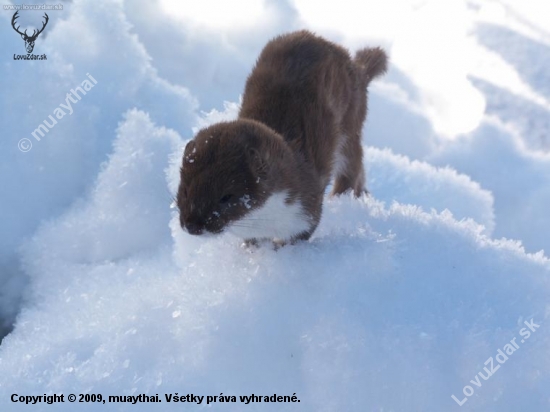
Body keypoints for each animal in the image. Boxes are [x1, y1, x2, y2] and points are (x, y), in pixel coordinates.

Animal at [178, 31, 388, 245]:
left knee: (352, 168)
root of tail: (355, 67)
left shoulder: (306, 211)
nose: (193, 225)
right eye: (185, 190)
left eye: (226, 196)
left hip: (349, 126)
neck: (267, 222)